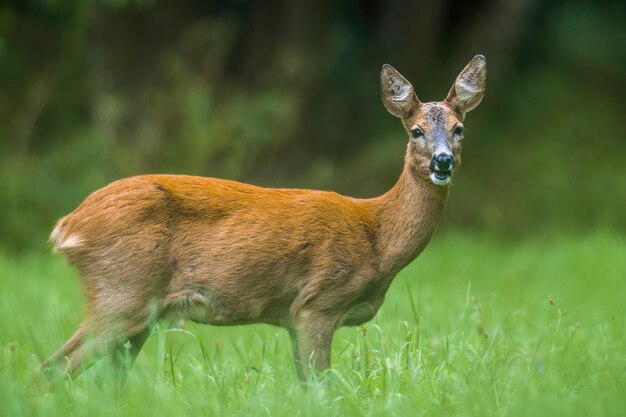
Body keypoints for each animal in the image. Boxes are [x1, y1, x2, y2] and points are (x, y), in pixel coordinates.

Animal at [40, 56, 488, 384]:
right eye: (415, 131)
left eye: (459, 129)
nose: (443, 161)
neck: (377, 236)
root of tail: (67, 226)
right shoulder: (317, 303)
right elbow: (319, 386)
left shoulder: (292, 316)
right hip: (122, 291)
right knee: (51, 369)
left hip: (137, 310)